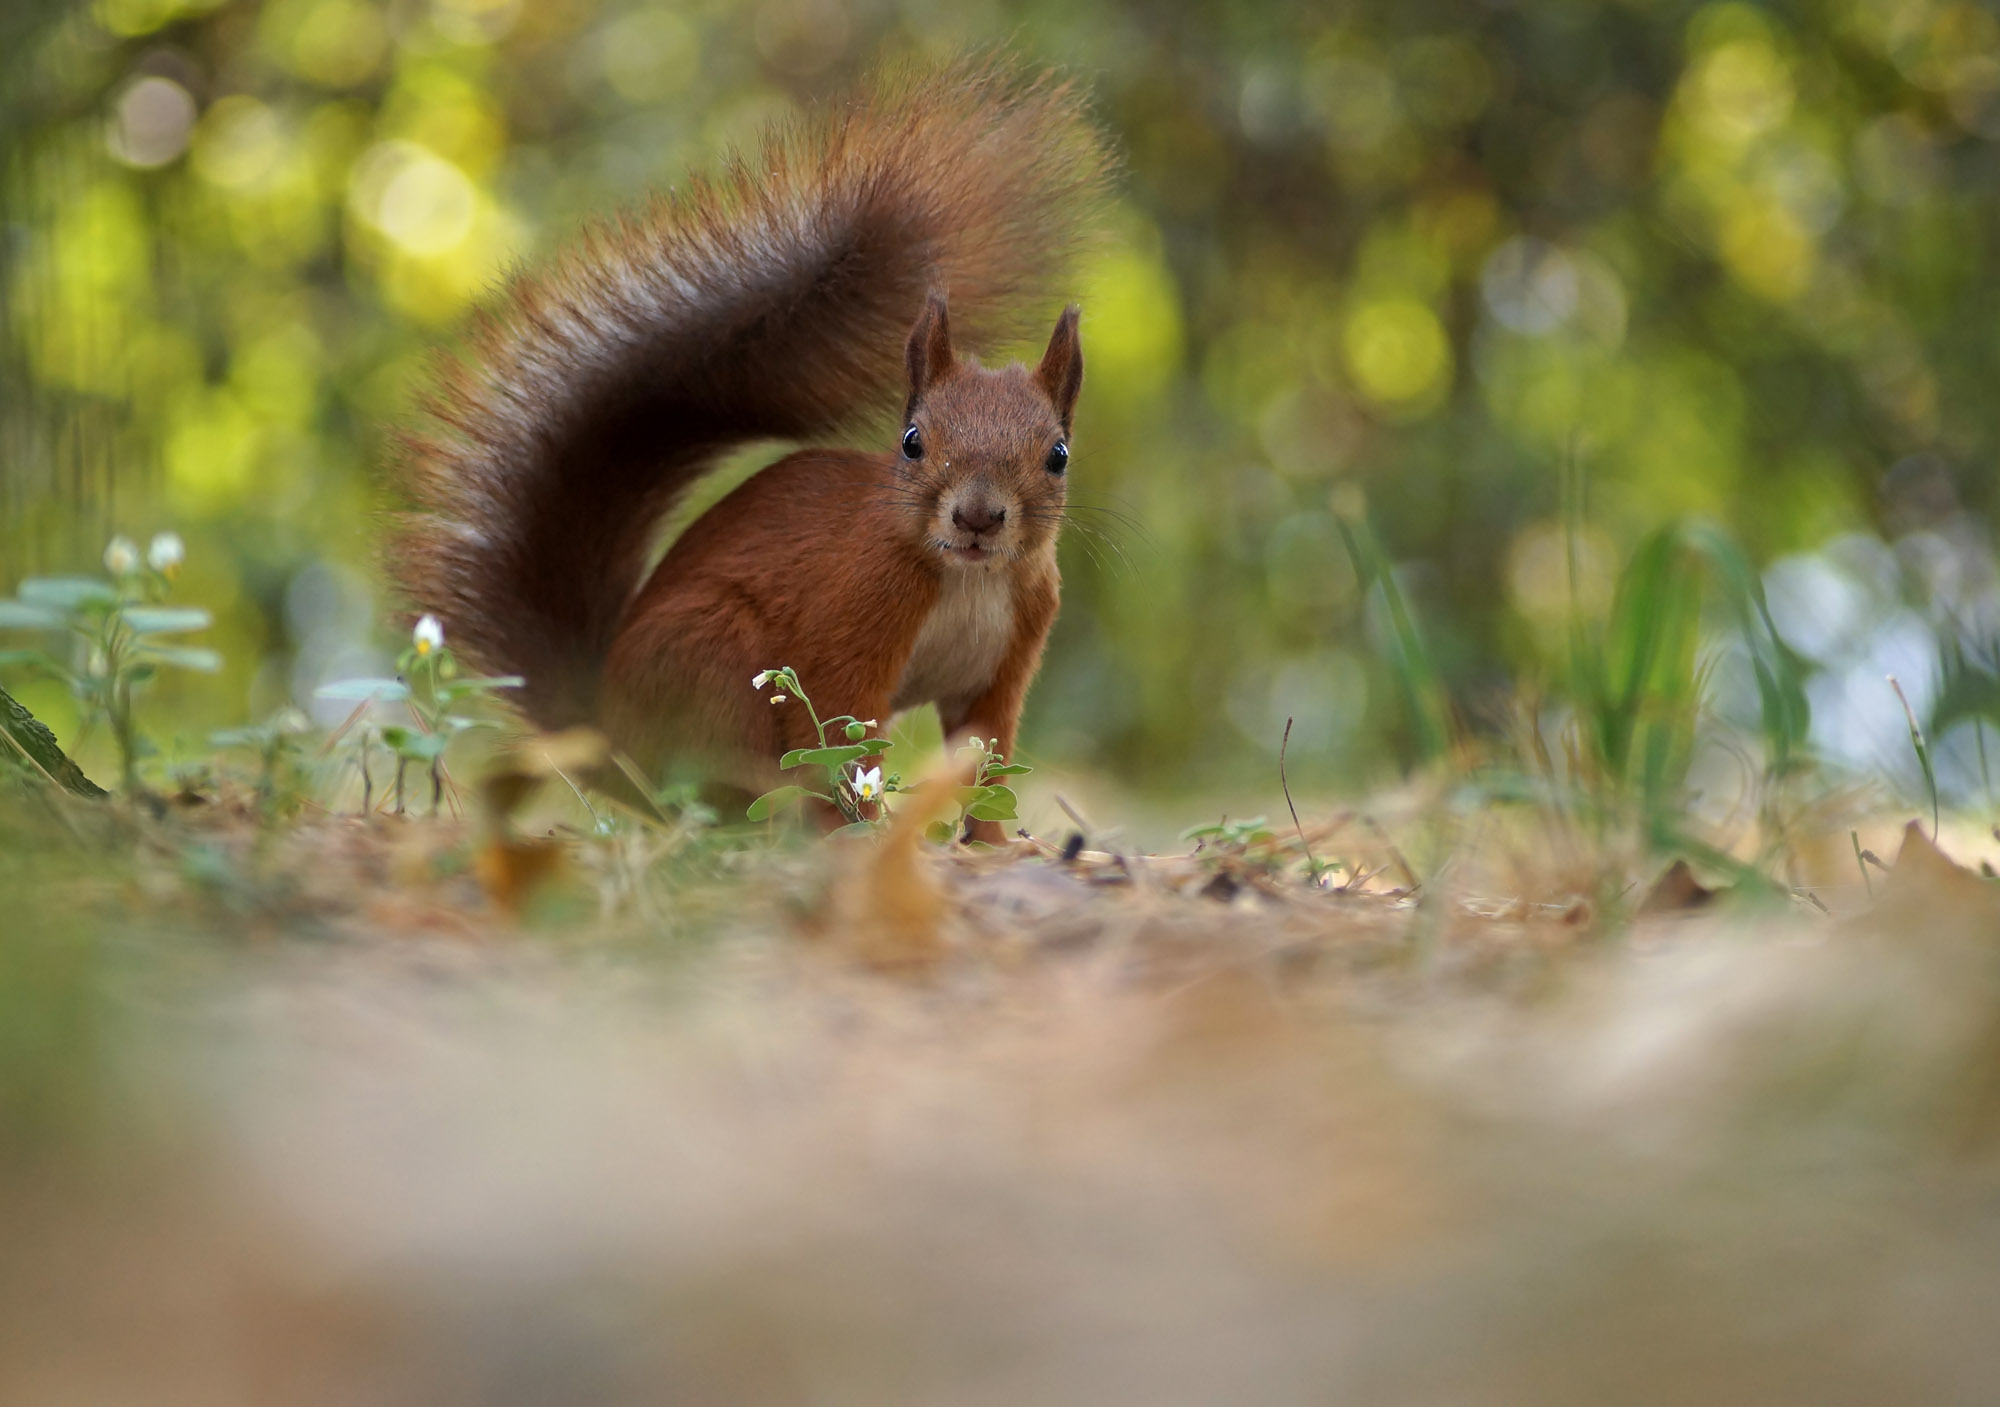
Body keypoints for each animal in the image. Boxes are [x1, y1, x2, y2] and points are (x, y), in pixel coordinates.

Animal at [390, 63, 1112, 835]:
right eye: (913, 442)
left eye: (1058, 455)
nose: (978, 517)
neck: (969, 579)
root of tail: (608, 734)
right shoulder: (852, 611)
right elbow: (841, 733)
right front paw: (865, 832)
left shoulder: (1008, 658)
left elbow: (985, 762)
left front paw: (993, 844)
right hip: (712, 663)